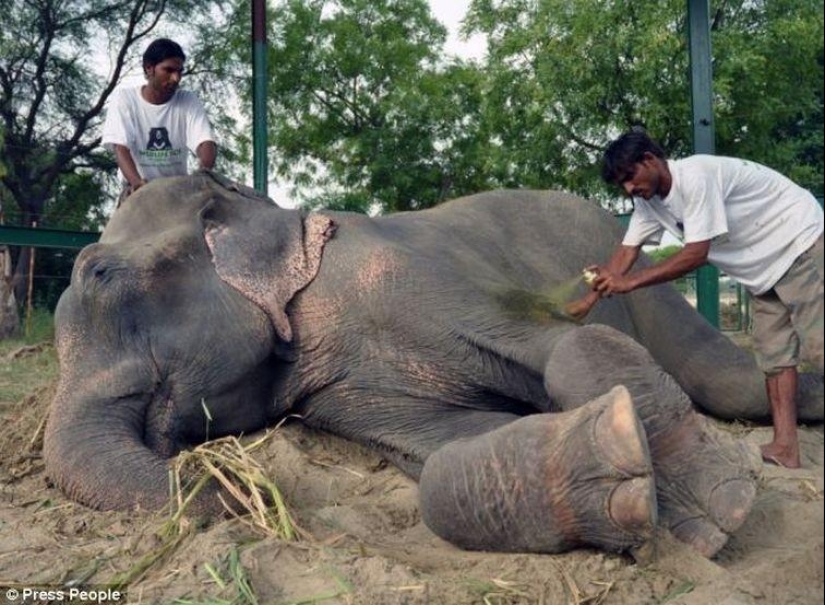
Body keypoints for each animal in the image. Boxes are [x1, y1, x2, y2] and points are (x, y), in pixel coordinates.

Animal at [43, 172, 824, 560]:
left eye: (101, 274)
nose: (236, 493)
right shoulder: (339, 389)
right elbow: (447, 448)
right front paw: (619, 475)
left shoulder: (415, 277)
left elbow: (558, 343)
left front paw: (719, 512)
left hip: (649, 283)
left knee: (729, 381)